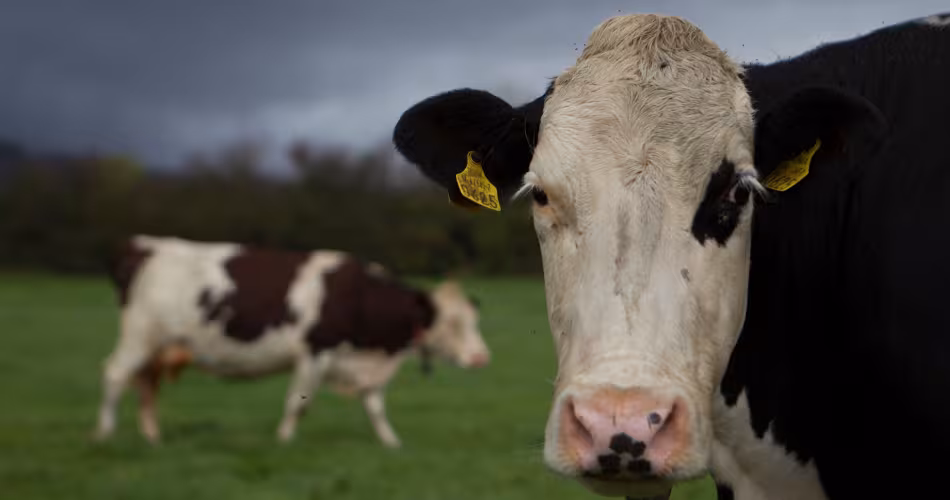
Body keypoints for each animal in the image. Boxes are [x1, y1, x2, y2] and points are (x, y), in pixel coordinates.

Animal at [93, 235, 490, 448]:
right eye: (452, 323)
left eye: (473, 320)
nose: (481, 358)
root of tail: (147, 245)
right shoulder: (315, 353)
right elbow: (298, 402)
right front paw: (284, 440)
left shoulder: (364, 368)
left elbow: (375, 407)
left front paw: (392, 443)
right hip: (140, 337)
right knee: (114, 375)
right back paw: (104, 434)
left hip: (156, 349)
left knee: (145, 385)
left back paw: (152, 437)